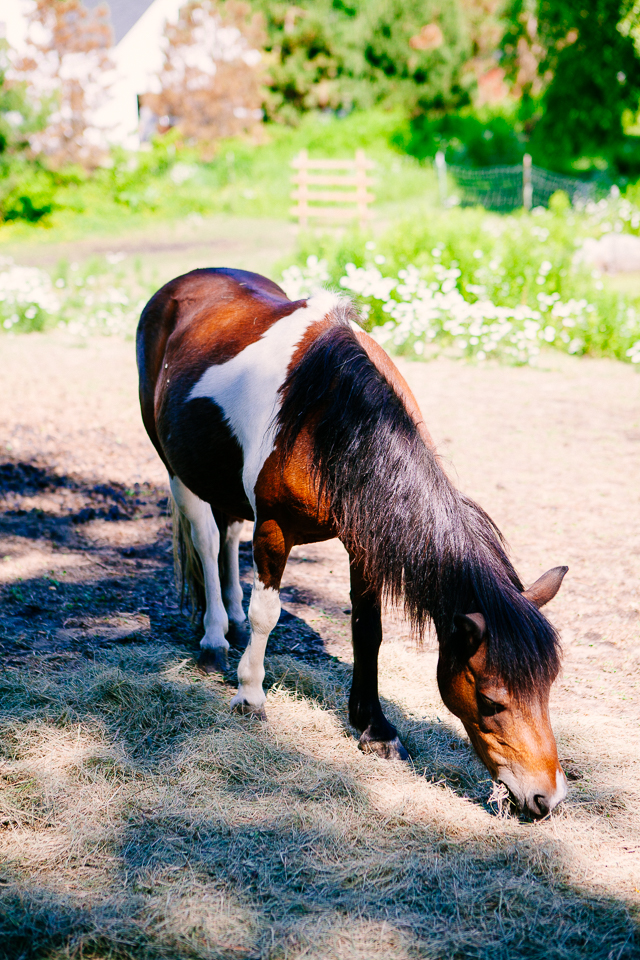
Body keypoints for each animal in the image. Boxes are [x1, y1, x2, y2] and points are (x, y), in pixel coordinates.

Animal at [138, 268, 568, 816]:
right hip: (180, 471)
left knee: (227, 535)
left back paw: (230, 619)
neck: (328, 419)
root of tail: (186, 281)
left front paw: (375, 728)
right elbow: (267, 614)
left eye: (549, 690)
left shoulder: (364, 539)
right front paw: (250, 695)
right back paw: (215, 638)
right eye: (492, 700)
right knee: (207, 537)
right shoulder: (274, 528)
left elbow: (368, 631)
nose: (545, 798)